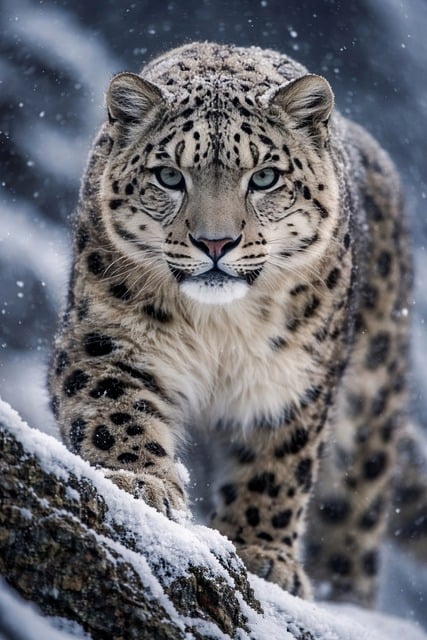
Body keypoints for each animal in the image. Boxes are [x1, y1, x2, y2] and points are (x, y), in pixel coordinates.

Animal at [49, 41, 413, 606]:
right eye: (169, 175)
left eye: (264, 176)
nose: (215, 242)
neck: (220, 329)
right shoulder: (109, 339)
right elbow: (115, 409)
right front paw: (142, 484)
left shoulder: (293, 377)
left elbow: (279, 463)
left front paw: (264, 553)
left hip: (372, 403)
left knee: (357, 508)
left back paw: (343, 591)